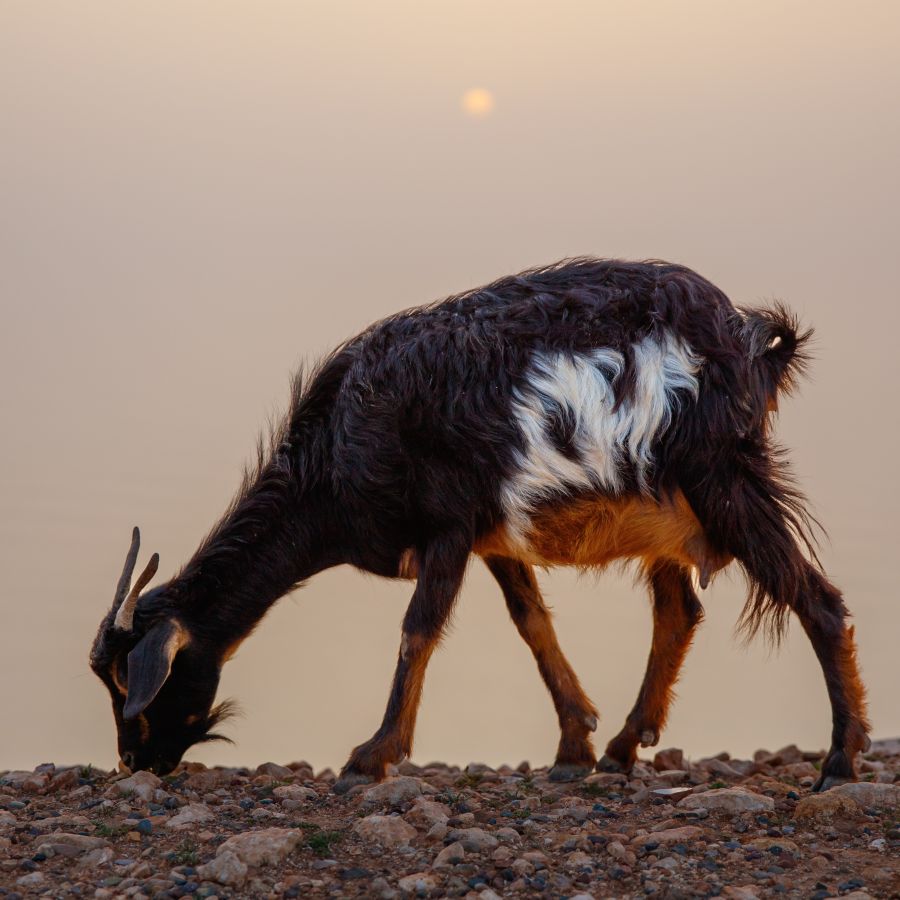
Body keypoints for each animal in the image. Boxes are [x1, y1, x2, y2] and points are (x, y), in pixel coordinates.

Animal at [90, 258, 869, 792]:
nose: (135, 762)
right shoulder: (493, 536)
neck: (338, 445)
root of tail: (752, 340)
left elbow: (418, 629)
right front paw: (574, 745)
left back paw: (839, 759)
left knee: (816, 598)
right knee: (679, 609)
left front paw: (372, 755)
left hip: (721, 479)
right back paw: (623, 747)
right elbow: (531, 622)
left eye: (137, 683)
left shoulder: (449, 522)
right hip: (667, 504)